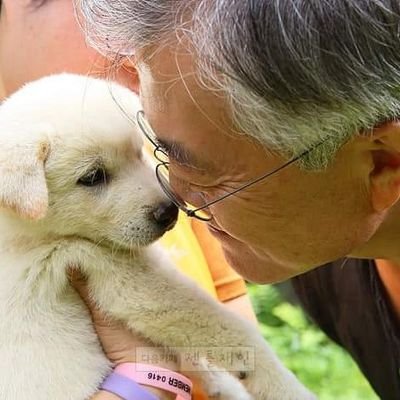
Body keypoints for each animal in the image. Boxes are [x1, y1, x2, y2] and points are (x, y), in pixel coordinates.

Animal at [0, 76, 316, 400]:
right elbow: (234, 331)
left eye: (138, 153)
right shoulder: (122, 277)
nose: (168, 213)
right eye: (92, 177)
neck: (29, 232)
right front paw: (285, 387)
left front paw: (224, 387)